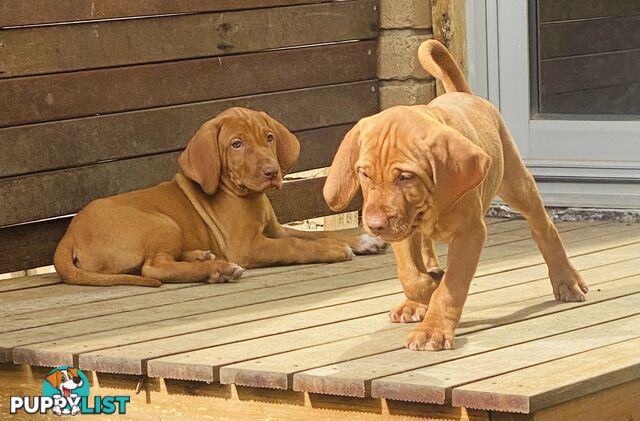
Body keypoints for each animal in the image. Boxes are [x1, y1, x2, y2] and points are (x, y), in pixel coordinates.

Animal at [55, 106, 384, 288]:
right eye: (236, 144)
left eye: (269, 138)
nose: (272, 171)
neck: (246, 195)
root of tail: (70, 234)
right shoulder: (247, 246)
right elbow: (294, 246)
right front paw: (333, 249)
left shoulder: (274, 230)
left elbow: (310, 235)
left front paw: (362, 240)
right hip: (162, 223)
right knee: (154, 266)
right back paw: (218, 269)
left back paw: (203, 257)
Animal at [322, 41, 588, 352]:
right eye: (364, 174)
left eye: (405, 177)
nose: (374, 225)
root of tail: (464, 95)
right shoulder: (402, 230)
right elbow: (411, 275)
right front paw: (425, 289)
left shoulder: (470, 233)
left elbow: (452, 287)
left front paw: (433, 329)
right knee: (424, 250)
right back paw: (417, 297)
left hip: (516, 182)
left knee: (543, 227)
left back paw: (566, 280)